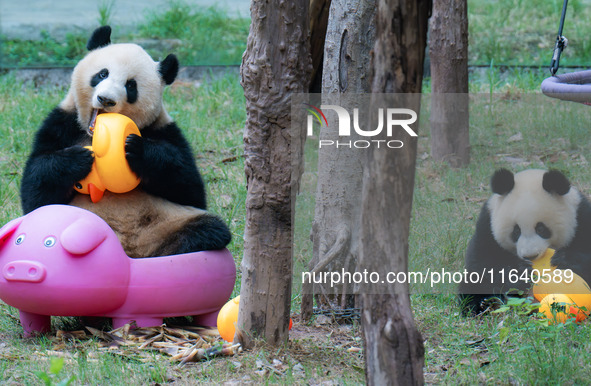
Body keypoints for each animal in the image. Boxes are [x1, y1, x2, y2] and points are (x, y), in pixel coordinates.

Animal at [19, 25, 231, 258]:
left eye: (131, 85)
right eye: (102, 74)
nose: (106, 99)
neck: (91, 135)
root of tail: (131, 249)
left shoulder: (164, 130)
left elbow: (189, 189)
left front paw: (137, 150)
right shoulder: (60, 125)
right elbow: (36, 191)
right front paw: (78, 159)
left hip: (169, 221)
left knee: (208, 229)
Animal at [460, 169, 591, 316]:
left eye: (541, 228)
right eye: (516, 231)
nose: (530, 256)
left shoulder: (581, 218)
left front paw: (564, 260)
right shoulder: (487, 226)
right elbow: (482, 264)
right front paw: (519, 274)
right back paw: (481, 306)